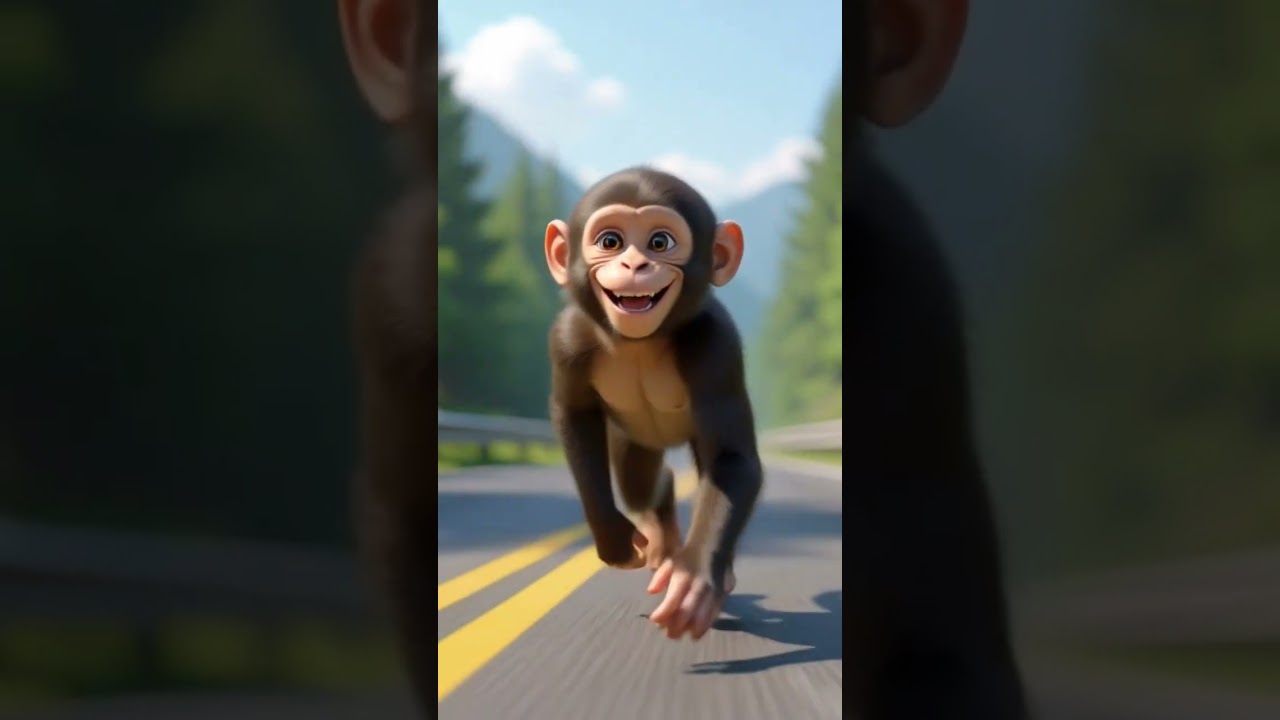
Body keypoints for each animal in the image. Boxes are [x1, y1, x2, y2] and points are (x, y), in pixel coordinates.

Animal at [544, 167, 761, 641]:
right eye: (610, 241)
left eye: (660, 242)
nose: (635, 265)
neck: (640, 344)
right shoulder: (567, 339)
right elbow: (574, 415)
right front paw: (614, 538)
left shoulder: (715, 346)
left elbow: (731, 460)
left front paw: (695, 579)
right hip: (633, 441)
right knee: (640, 483)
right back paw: (659, 521)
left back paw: (716, 570)